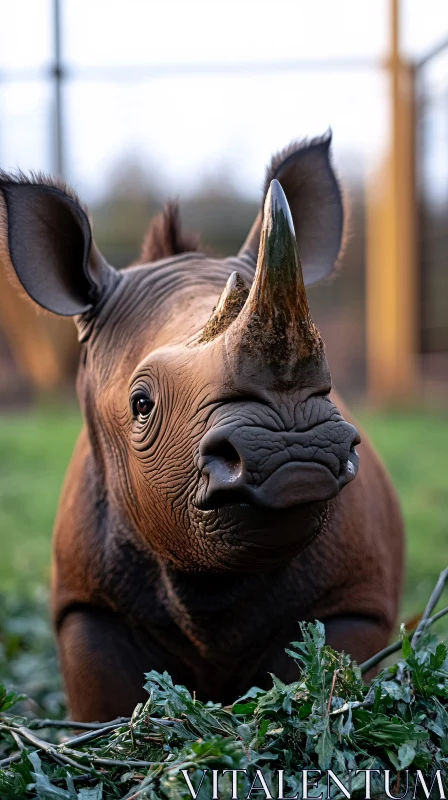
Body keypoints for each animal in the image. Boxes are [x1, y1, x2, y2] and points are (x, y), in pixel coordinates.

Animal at [0, 134, 404, 720]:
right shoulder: (87, 608)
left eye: (327, 388)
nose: (293, 451)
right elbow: (107, 702)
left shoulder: (355, 601)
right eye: (141, 405)